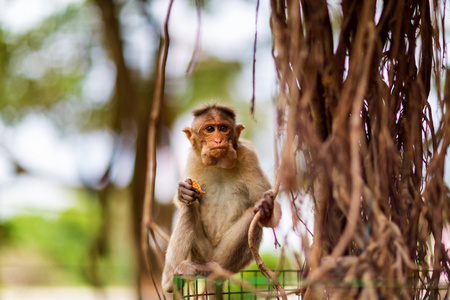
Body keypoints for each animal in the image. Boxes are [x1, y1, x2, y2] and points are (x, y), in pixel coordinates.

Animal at [162, 103, 282, 292]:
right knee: (190, 207)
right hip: (200, 254)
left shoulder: (249, 156)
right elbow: (183, 202)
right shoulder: (193, 158)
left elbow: (266, 213)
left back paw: (215, 270)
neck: (219, 164)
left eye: (223, 129)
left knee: (252, 214)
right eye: (210, 129)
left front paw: (267, 207)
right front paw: (183, 193)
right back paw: (172, 280)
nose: (218, 140)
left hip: (225, 259)